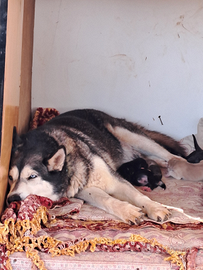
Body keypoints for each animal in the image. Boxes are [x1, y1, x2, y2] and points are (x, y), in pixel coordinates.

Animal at [7, 108, 198, 225]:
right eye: (10, 177)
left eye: (32, 176)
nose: (11, 199)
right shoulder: (84, 188)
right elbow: (107, 200)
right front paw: (129, 211)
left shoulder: (115, 180)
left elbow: (138, 196)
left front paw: (155, 207)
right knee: (155, 159)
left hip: (133, 137)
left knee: (173, 157)